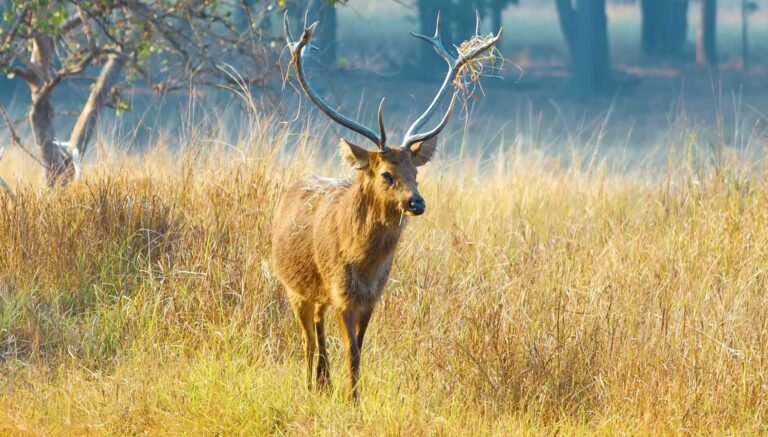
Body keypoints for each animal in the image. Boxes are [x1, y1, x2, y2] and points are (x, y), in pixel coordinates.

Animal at [271, 12, 502, 401]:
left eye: (416, 172)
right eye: (385, 174)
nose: (417, 202)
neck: (363, 266)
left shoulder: (372, 297)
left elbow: (360, 349)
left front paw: (351, 395)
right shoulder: (341, 292)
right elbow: (350, 350)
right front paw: (350, 400)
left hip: (316, 294)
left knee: (317, 332)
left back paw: (323, 382)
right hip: (293, 286)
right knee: (307, 339)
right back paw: (308, 385)